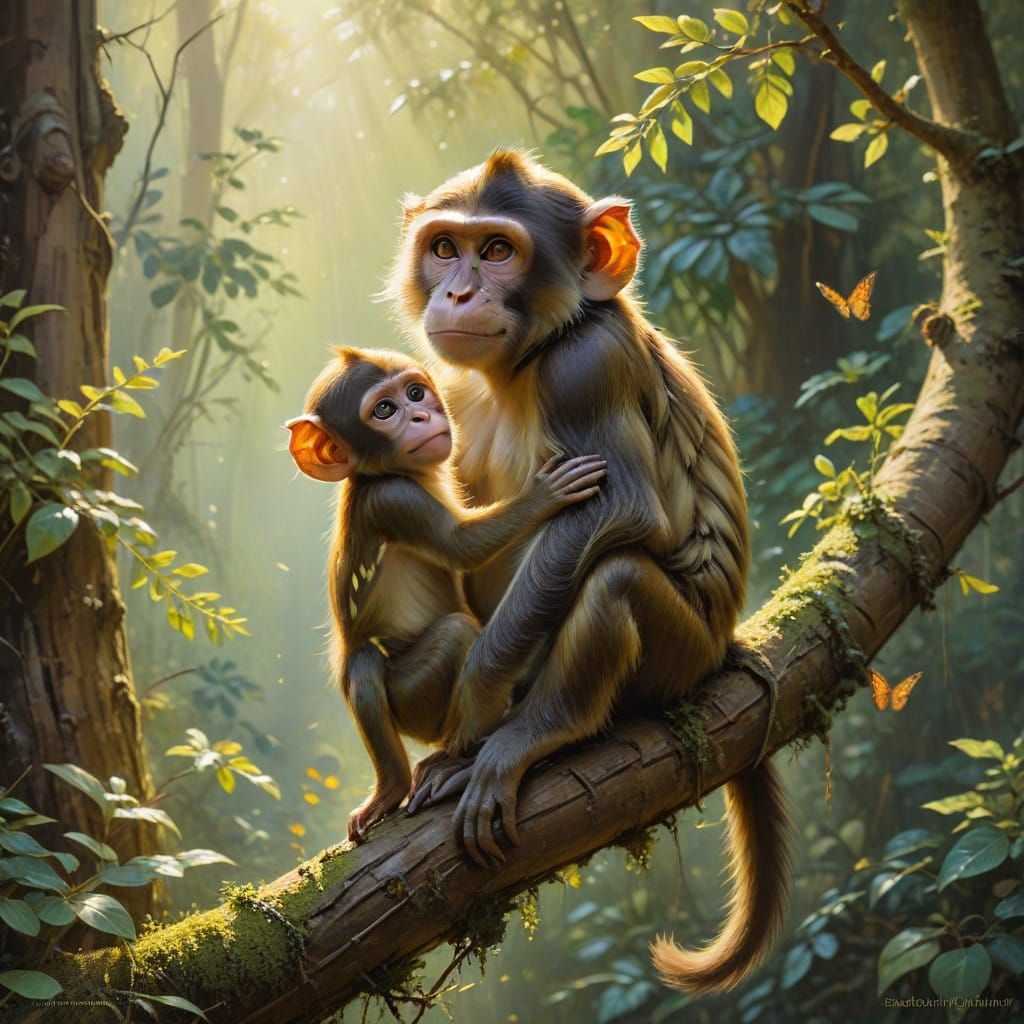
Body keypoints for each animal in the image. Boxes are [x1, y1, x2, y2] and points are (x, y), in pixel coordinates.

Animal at [286, 346, 607, 844]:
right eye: (385, 410)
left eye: (415, 393)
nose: (421, 415)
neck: (381, 474)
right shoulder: (395, 500)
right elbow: (461, 545)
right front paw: (543, 494)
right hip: (413, 698)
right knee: (394, 653)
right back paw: (402, 781)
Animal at [391, 150, 792, 996]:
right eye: (444, 248)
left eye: (498, 250)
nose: (458, 292)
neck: (529, 358)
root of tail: (722, 644)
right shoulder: (458, 396)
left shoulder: (585, 367)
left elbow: (623, 510)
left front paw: (474, 712)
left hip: (680, 655)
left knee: (616, 579)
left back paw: (539, 731)